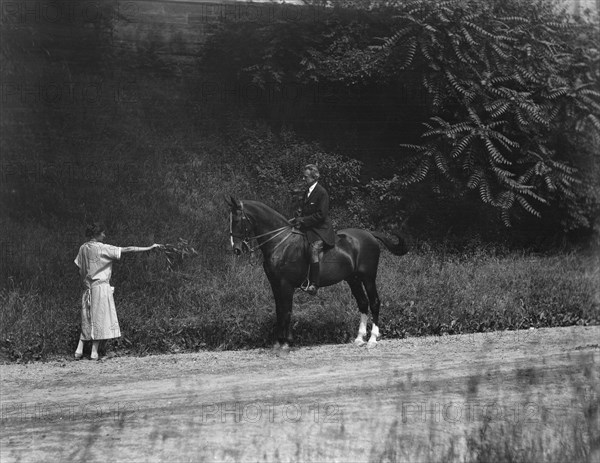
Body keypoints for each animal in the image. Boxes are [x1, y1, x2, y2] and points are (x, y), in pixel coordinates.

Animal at [226, 196, 408, 352]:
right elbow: (279, 310)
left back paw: (372, 340)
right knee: (363, 303)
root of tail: (369, 234)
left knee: (374, 302)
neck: (280, 243)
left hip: (368, 277)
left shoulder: (285, 285)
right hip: (353, 279)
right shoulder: (276, 284)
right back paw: (359, 339)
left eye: (237, 220)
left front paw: (285, 343)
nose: (236, 249)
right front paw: (279, 342)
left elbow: (286, 311)